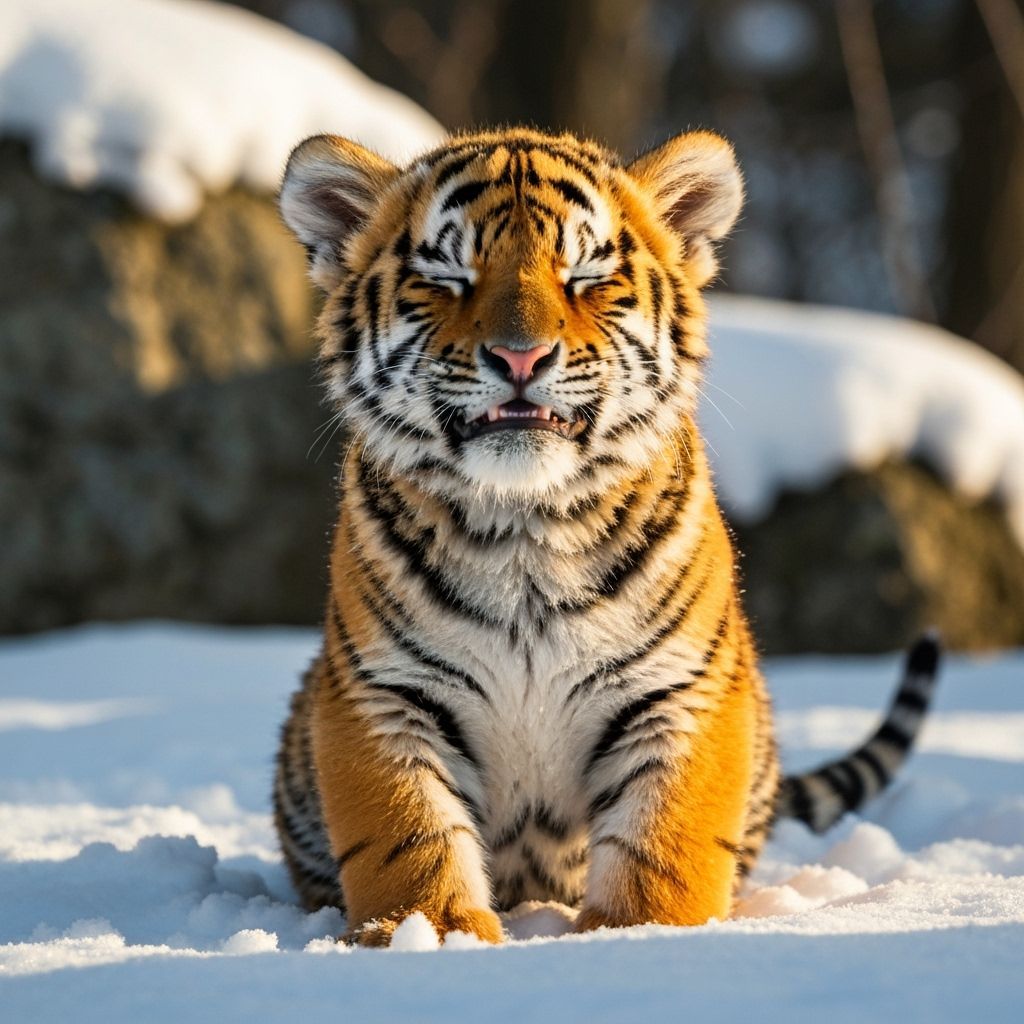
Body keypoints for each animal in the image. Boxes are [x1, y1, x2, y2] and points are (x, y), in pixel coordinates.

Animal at [272, 127, 941, 946]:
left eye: (586, 276)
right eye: (449, 277)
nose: (519, 357)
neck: (523, 527)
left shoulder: (681, 691)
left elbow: (664, 843)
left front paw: (634, 937)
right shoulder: (384, 691)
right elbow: (409, 836)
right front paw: (429, 933)